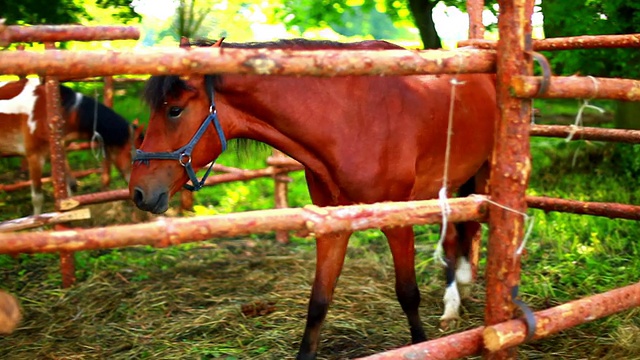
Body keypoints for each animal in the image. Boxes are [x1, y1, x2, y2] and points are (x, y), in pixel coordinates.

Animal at [129, 38, 496, 358]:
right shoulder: (331, 224)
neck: (352, 118)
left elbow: (407, 293)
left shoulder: (398, 222)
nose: (138, 191)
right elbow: (318, 301)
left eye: (175, 111)